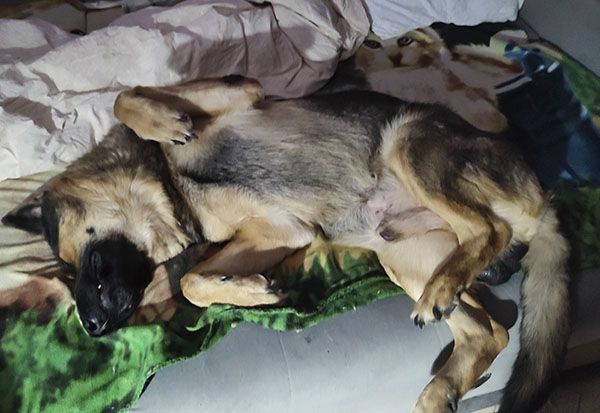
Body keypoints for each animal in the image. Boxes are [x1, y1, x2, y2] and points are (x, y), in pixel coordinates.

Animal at [2, 77, 569, 413]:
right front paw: (252, 290)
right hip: (398, 252)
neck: (171, 183)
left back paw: (449, 293)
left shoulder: (242, 90)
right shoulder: (282, 231)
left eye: (81, 261)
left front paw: (162, 122)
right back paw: (440, 387)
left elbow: (127, 95)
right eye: (66, 272)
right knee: (489, 330)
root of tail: (545, 198)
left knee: (489, 233)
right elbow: (193, 281)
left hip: (407, 143)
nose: (92, 328)